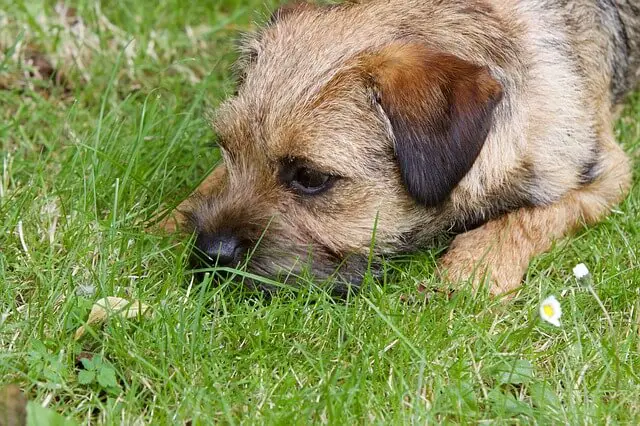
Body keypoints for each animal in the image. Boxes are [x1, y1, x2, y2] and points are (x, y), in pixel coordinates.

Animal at [158, 0, 636, 296]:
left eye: (310, 177)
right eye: (226, 148)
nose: (210, 254)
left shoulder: (605, 171)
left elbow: (529, 217)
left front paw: (474, 270)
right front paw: (166, 220)